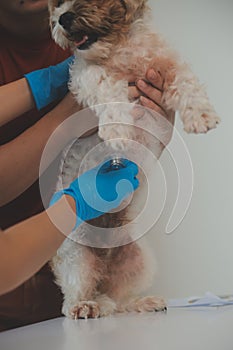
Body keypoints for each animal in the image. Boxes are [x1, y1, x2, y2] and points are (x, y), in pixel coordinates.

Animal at [48, 0, 219, 318]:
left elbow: (187, 81)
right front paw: (117, 129)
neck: (118, 47)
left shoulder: (165, 65)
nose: (63, 18)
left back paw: (142, 303)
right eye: (57, 5)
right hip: (77, 255)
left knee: (118, 302)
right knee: (74, 300)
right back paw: (86, 306)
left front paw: (201, 114)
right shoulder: (84, 73)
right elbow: (105, 84)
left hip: (137, 260)